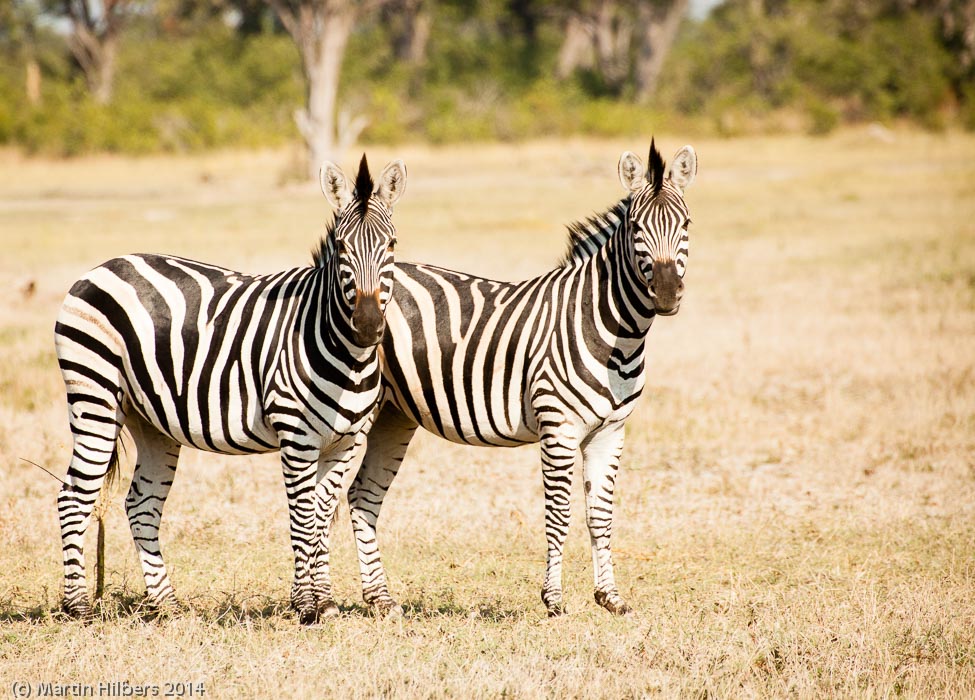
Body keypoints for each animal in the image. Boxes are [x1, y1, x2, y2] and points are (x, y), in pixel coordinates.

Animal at [54, 155, 406, 624]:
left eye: (392, 246)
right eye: (343, 249)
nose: (368, 327)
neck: (344, 352)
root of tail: (101, 268)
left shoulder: (346, 442)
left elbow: (321, 515)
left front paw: (326, 601)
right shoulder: (296, 437)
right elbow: (303, 518)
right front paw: (306, 606)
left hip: (150, 420)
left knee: (141, 504)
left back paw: (168, 605)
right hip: (94, 395)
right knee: (74, 495)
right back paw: (78, 607)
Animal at [343, 140, 696, 617]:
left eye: (686, 224)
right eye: (637, 227)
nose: (666, 294)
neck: (613, 330)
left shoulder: (611, 431)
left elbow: (600, 515)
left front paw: (610, 597)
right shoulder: (559, 427)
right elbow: (559, 514)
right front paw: (554, 600)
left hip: (394, 415)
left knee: (362, 496)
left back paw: (380, 599)